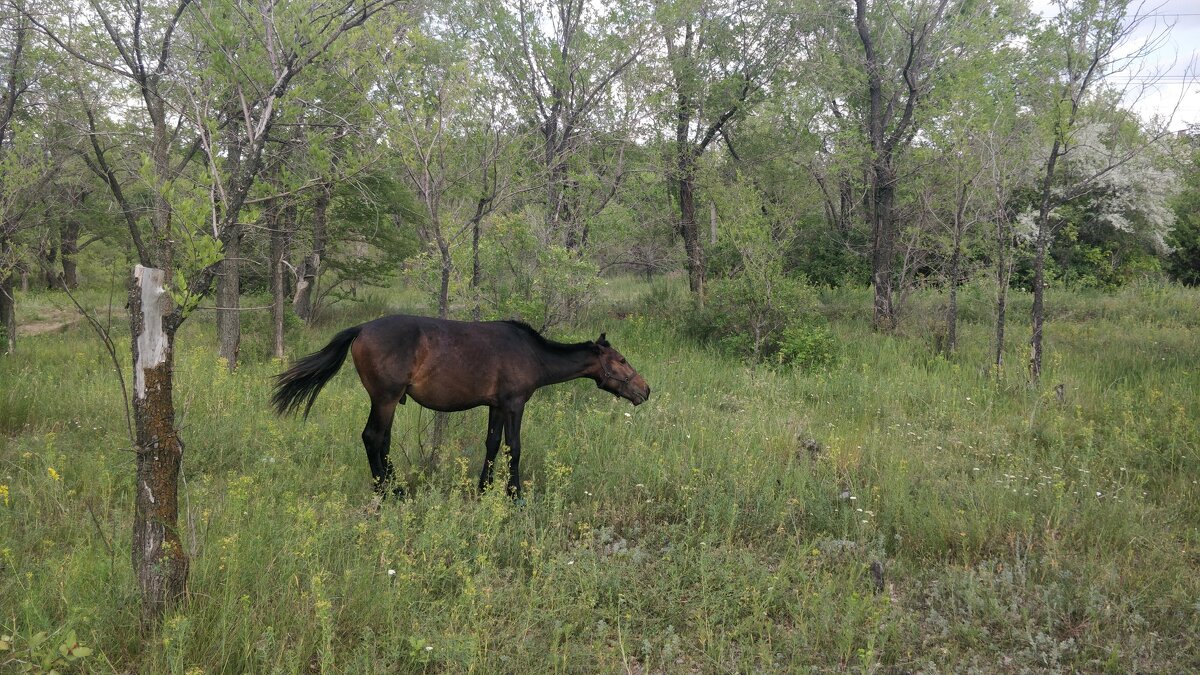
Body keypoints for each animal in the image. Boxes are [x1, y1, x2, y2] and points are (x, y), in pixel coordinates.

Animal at [273, 314, 652, 494]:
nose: (645, 390)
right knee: (373, 438)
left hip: (388, 401)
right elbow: (514, 447)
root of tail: (363, 328)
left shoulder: (496, 406)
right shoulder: (514, 404)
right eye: (620, 360)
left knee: (383, 442)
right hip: (385, 398)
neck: (531, 353)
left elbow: (493, 444)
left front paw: (484, 488)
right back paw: (390, 491)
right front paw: (514, 493)